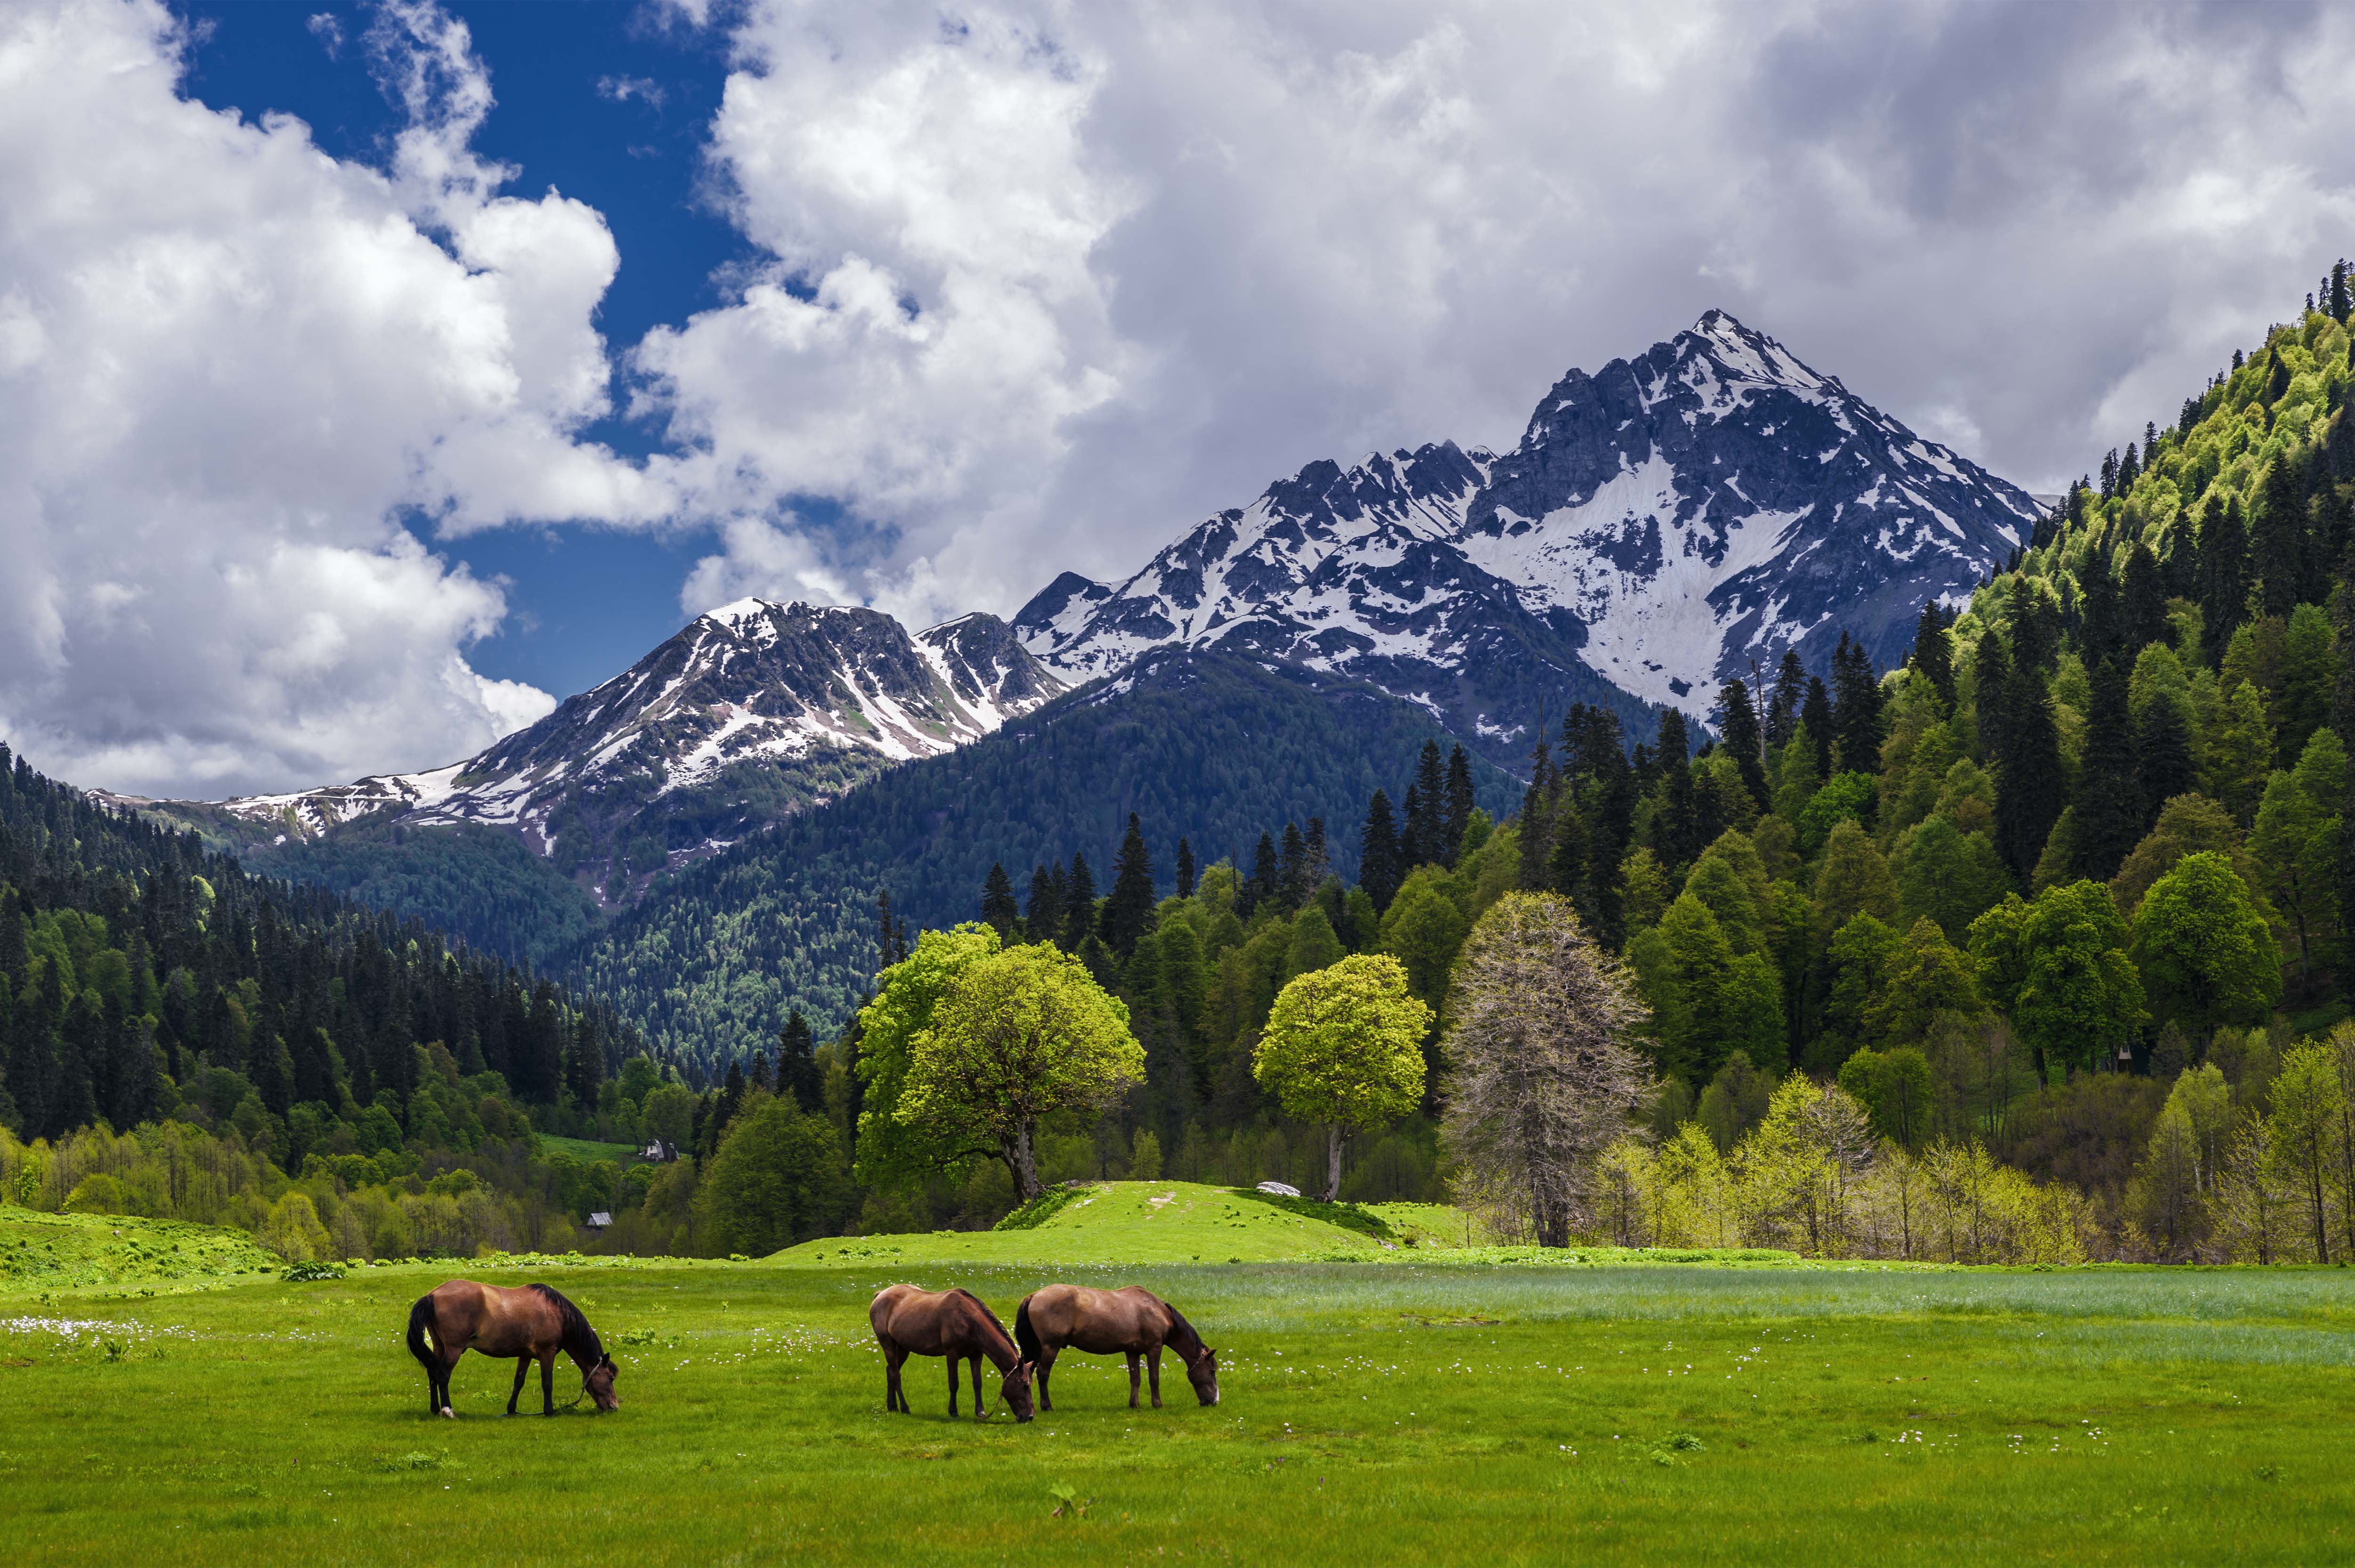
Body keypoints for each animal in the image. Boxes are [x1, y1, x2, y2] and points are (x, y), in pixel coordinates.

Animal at [407, 1271, 622, 1413]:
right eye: (611, 1378)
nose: (614, 1407)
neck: (558, 1314)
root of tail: (433, 1295)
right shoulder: (547, 1353)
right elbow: (547, 1383)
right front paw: (549, 1411)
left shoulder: (525, 1355)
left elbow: (519, 1382)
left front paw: (511, 1410)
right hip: (453, 1349)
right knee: (443, 1375)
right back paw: (447, 1410)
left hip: (439, 1347)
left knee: (432, 1373)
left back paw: (435, 1409)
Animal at [871, 1281, 1036, 1413]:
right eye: (1025, 1385)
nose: (1029, 1417)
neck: (969, 1322)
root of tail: (880, 1295)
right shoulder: (952, 1354)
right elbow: (954, 1383)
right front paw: (953, 1411)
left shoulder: (976, 1356)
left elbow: (978, 1383)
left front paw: (980, 1412)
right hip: (888, 1344)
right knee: (896, 1375)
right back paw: (905, 1408)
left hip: (903, 1348)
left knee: (891, 1371)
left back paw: (892, 1406)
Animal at [1013, 1281, 1225, 1403]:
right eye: (1212, 1371)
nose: (1214, 1401)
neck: (1158, 1311)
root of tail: (1034, 1296)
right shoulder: (1154, 1349)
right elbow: (1154, 1378)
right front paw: (1157, 1404)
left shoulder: (1132, 1352)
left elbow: (1135, 1379)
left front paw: (1134, 1404)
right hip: (1050, 1347)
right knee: (1043, 1374)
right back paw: (1047, 1406)